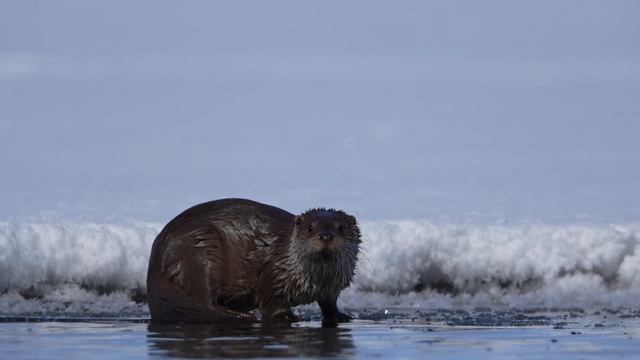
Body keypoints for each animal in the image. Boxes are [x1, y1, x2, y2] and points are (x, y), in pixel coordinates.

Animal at [147, 198, 362, 324]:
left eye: (341, 228)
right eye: (310, 228)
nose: (326, 236)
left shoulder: (331, 288)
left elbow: (329, 304)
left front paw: (341, 316)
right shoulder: (273, 274)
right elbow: (271, 305)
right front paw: (290, 316)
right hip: (201, 248)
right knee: (203, 299)